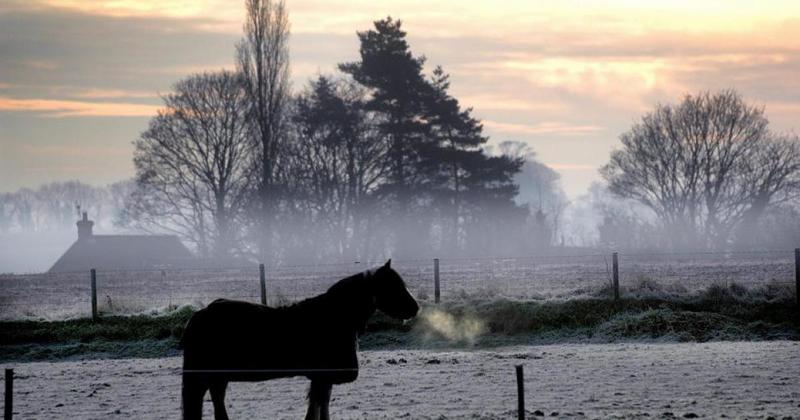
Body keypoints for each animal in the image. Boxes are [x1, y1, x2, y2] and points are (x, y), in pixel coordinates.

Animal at [180, 260, 418, 420]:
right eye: (392, 286)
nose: (415, 308)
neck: (336, 317)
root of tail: (200, 314)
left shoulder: (322, 379)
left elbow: (320, 406)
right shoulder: (321, 377)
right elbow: (317, 408)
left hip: (216, 377)